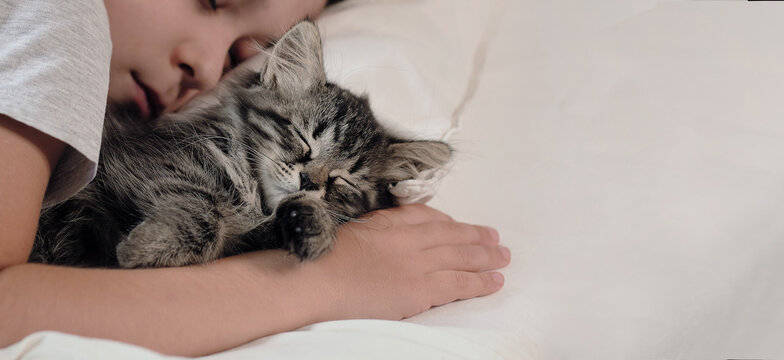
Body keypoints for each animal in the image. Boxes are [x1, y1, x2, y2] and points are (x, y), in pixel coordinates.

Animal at [30, 19, 450, 268]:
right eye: (303, 139)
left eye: (342, 180)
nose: (309, 181)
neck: (253, 197)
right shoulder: (154, 159)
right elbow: (204, 210)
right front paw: (146, 248)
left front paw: (312, 224)